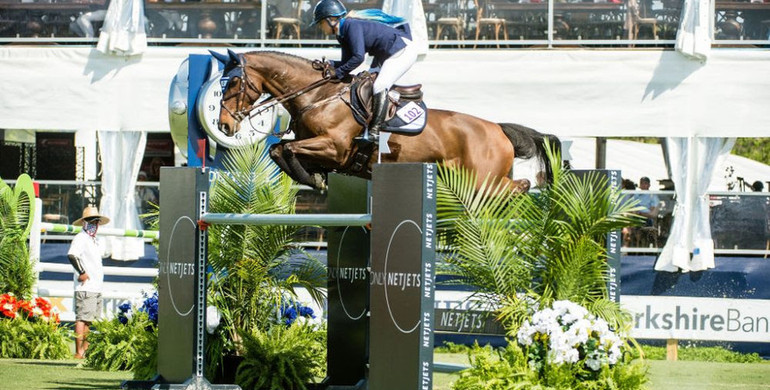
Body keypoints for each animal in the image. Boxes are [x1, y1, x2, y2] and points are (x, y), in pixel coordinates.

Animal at [210, 49, 560, 193]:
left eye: (233, 82)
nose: (225, 126)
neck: (318, 95)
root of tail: (498, 129)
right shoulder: (318, 147)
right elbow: (279, 150)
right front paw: (316, 178)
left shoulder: (334, 147)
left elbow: (285, 150)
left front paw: (314, 179)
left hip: (483, 180)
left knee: (519, 186)